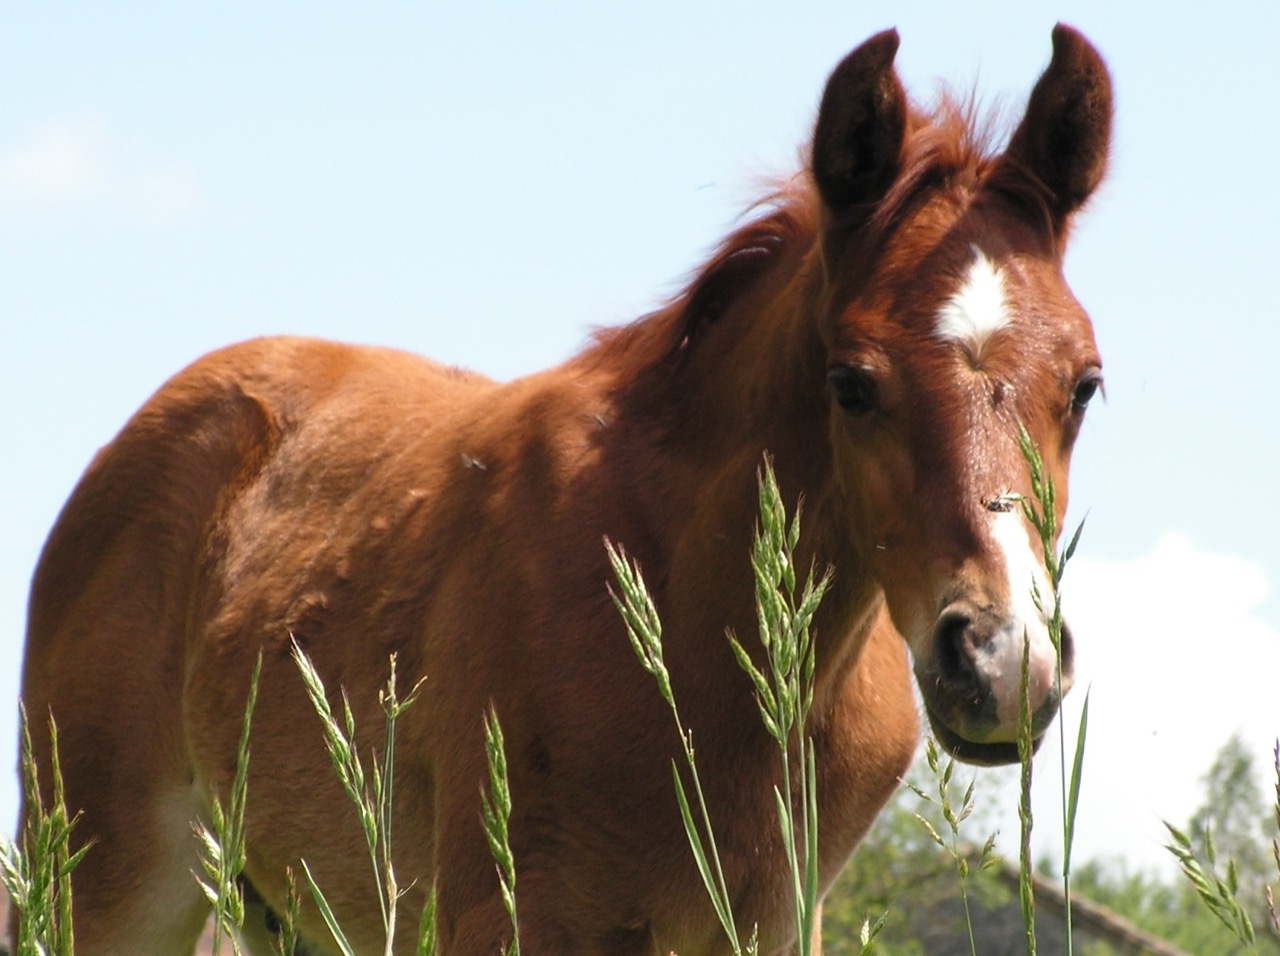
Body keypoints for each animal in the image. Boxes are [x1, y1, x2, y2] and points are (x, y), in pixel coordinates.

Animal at [12, 24, 1111, 956]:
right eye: (850, 382)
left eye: (1085, 385)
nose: (1002, 661)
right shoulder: (508, 913)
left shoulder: (772, 918)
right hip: (103, 878)